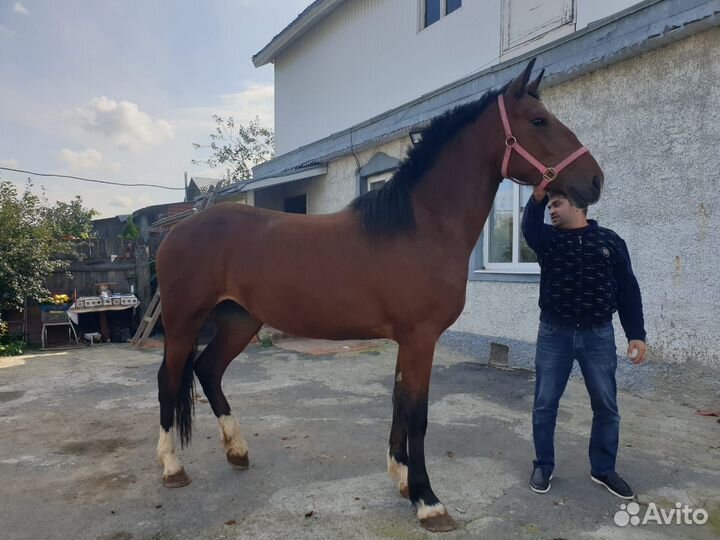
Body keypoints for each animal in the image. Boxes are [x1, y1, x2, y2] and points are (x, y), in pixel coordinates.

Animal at [154, 58, 604, 532]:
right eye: (538, 121)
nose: (594, 180)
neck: (421, 227)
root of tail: (177, 232)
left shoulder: (409, 339)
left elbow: (399, 404)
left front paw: (403, 480)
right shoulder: (421, 337)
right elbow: (418, 413)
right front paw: (428, 502)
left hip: (239, 320)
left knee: (208, 370)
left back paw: (237, 451)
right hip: (184, 323)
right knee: (169, 380)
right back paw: (172, 467)